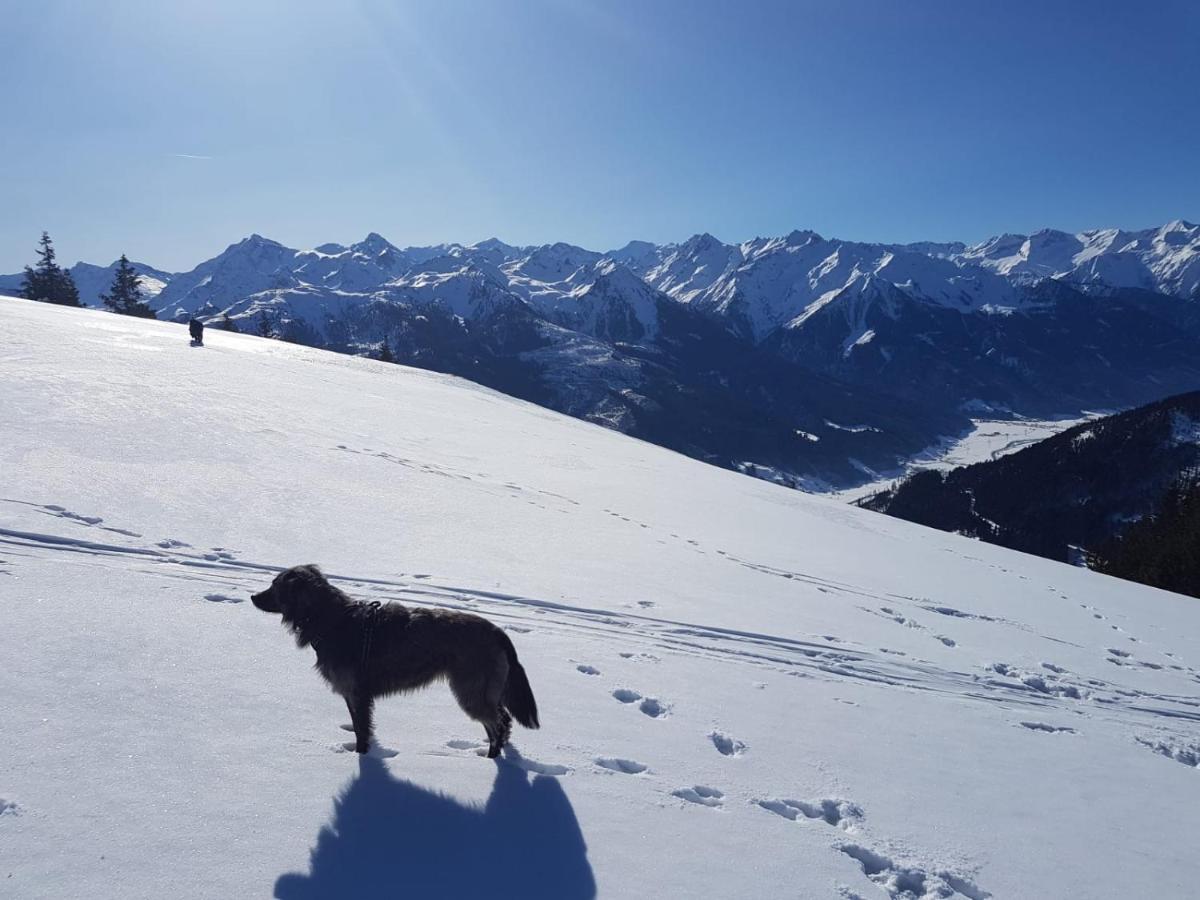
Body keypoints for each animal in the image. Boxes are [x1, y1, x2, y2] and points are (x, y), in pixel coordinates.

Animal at [250, 566, 542, 758]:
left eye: (275, 587)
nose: (253, 597)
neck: (333, 620)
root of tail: (497, 631)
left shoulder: (357, 692)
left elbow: (361, 729)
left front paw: (362, 757)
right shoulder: (355, 694)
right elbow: (359, 726)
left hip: (471, 690)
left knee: (498, 724)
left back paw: (491, 759)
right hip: (486, 688)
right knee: (503, 719)